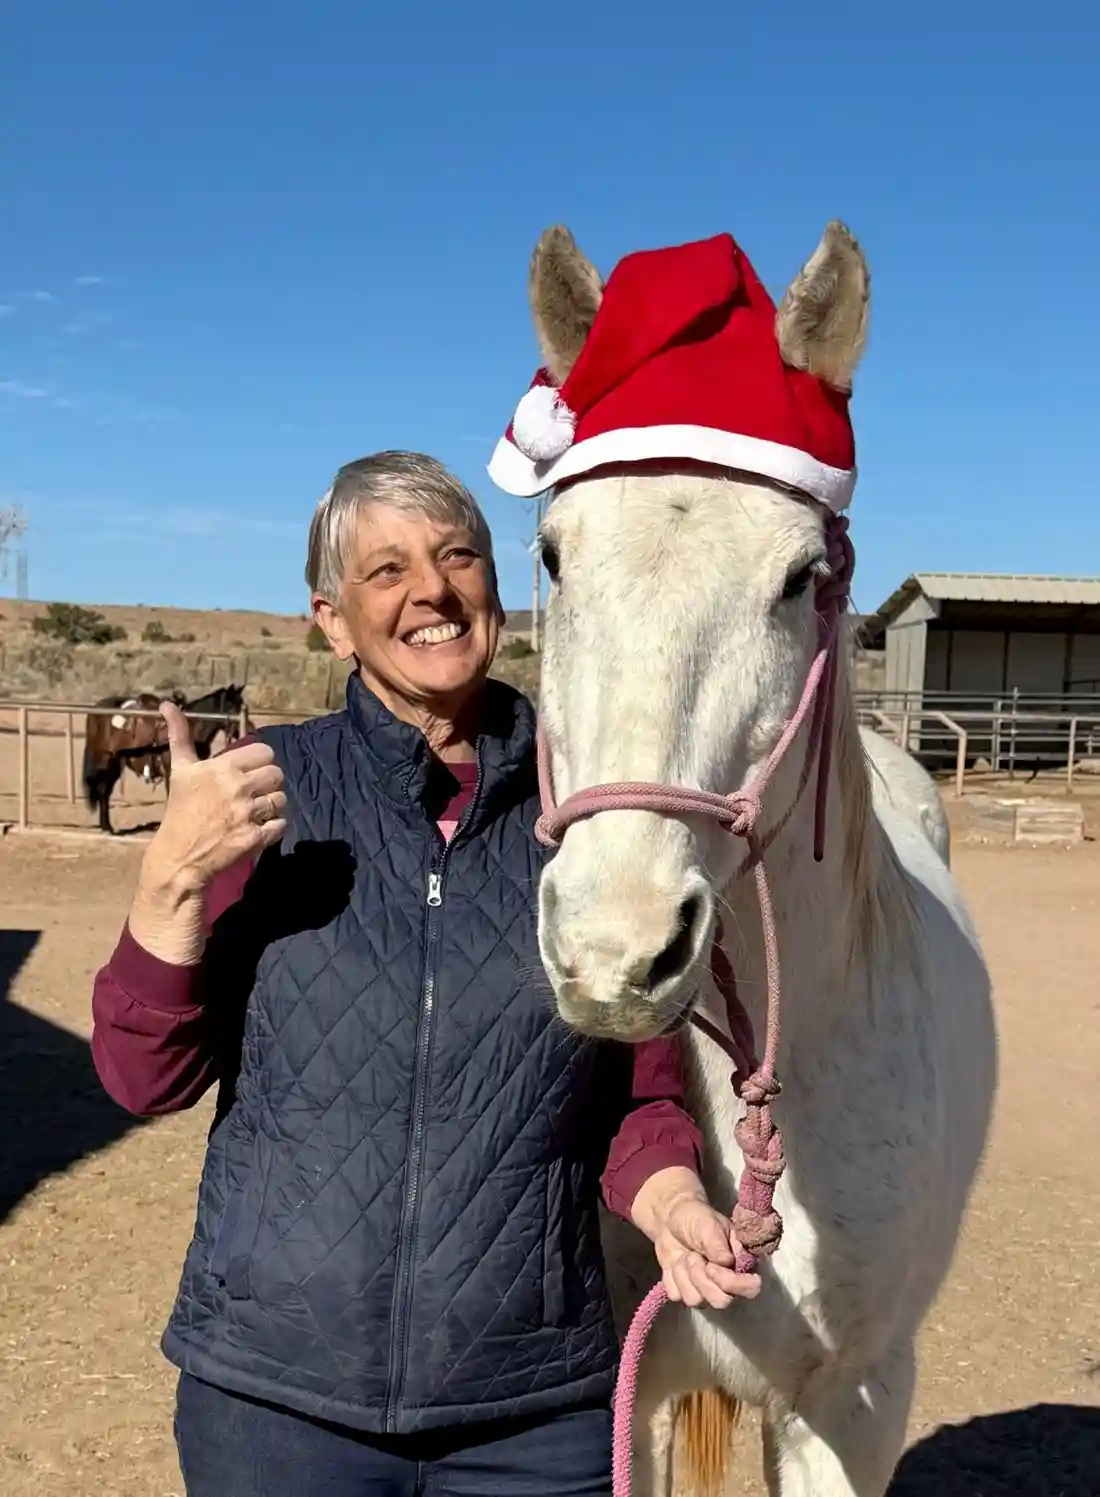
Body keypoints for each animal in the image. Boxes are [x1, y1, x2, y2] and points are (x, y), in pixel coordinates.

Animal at [83, 683, 248, 834]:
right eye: (232, 706)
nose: (249, 727)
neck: (191, 728)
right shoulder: (170, 771)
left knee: (105, 791)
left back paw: (107, 827)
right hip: (105, 761)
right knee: (102, 790)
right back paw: (107, 828)